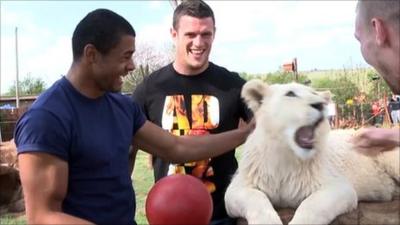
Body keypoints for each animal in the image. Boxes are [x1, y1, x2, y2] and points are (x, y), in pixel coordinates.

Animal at [227, 80, 398, 224]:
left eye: (315, 93)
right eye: (290, 93)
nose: (320, 105)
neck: (286, 157)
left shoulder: (334, 183)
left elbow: (312, 205)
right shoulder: (248, 178)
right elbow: (252, 195)